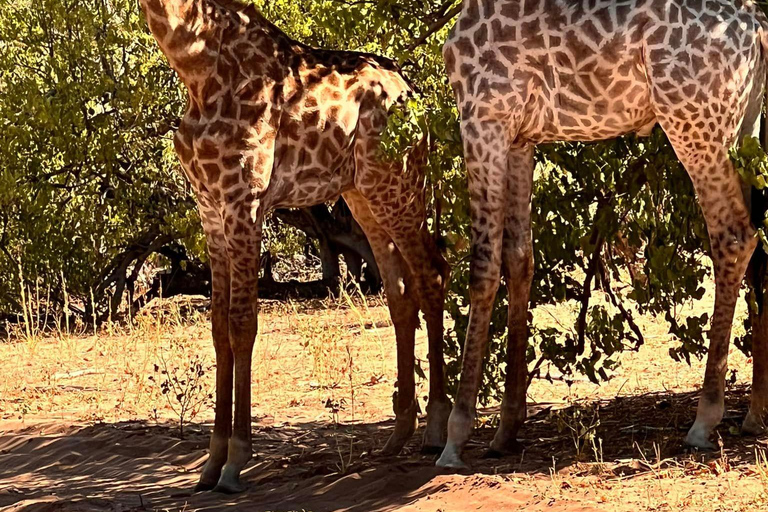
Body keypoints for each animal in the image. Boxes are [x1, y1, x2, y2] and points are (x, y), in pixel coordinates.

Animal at [139, 0, 452, 492]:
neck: (195, 66)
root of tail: (412, 95)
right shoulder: (209, 206)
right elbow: (217, 327)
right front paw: (210, 462)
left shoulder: (245, 200)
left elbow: (242, 324)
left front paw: (235, 461)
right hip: (362, 193)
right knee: (400, 292)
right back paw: (399, 435)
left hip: (397, 186)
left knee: (431, 274)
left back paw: (437, 430)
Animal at [438, 0, 768, 468]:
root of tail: (756, 25)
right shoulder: (520, 137)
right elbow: (520, 258)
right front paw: (506, 429)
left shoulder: (484, 117)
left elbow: (483, 266)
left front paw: (456, 436)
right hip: (743, 125)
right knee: (758, 242)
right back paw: (755, 413)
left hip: (695, 125)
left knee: (735, 236)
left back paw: (705, 419)